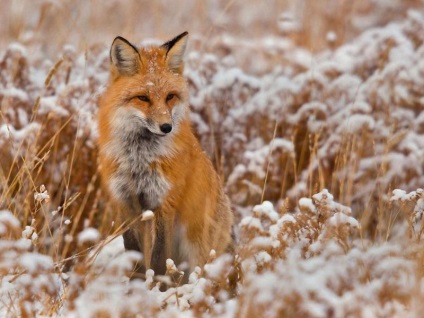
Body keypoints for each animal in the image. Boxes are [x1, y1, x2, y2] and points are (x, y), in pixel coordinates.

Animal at [97, 32, 234, 280]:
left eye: (170, 97)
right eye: (143, 98)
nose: (166, 127)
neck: (139, 160)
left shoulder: (164, 202)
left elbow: (160, 259)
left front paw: (157, 286)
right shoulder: (126, 202)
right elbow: (134, 254)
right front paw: (135, 285)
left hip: (196, 248)